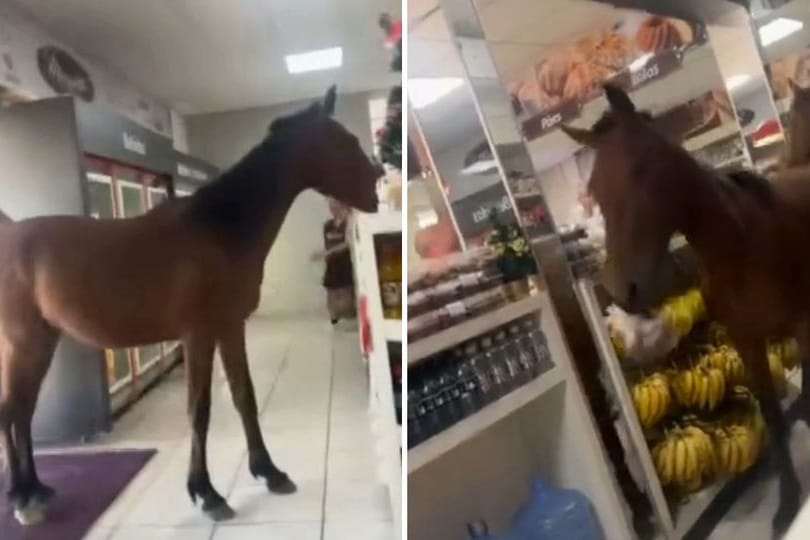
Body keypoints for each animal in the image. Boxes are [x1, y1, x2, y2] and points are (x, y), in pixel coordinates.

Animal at [0, 85, 380, 524]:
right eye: (345, 141)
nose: (379, 182)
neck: (218, 230)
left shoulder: (230, 327)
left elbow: (244, 396)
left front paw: (269, 471)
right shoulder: (199, 334)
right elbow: (199, 409)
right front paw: (207, 493)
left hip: (44, 341)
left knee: (22, 412)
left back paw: (35, 491)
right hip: (25, 343)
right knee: (12, 410)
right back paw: (22, 498)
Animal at [560, 84, 808, 536]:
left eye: (640, 168)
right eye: (595, 185)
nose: (620, 288)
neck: (740, 248)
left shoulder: (804, 326)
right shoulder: (749, 343)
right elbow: (774, 415)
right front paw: (787, 505)